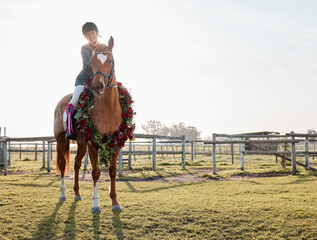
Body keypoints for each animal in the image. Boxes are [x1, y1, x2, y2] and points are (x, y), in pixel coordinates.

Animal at [53, 36, 123, 212]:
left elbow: (112, 171)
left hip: (81, 143)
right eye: (91, 62)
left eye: (110, 60)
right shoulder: (93, 143)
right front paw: (96, 204)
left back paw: (77, 194)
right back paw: (63, 194)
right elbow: (96, 172)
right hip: (61, 139)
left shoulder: (115, 143)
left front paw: (115, 202)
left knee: (77, 164)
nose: (98, 86)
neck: (108, 108)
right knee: (63, 165)